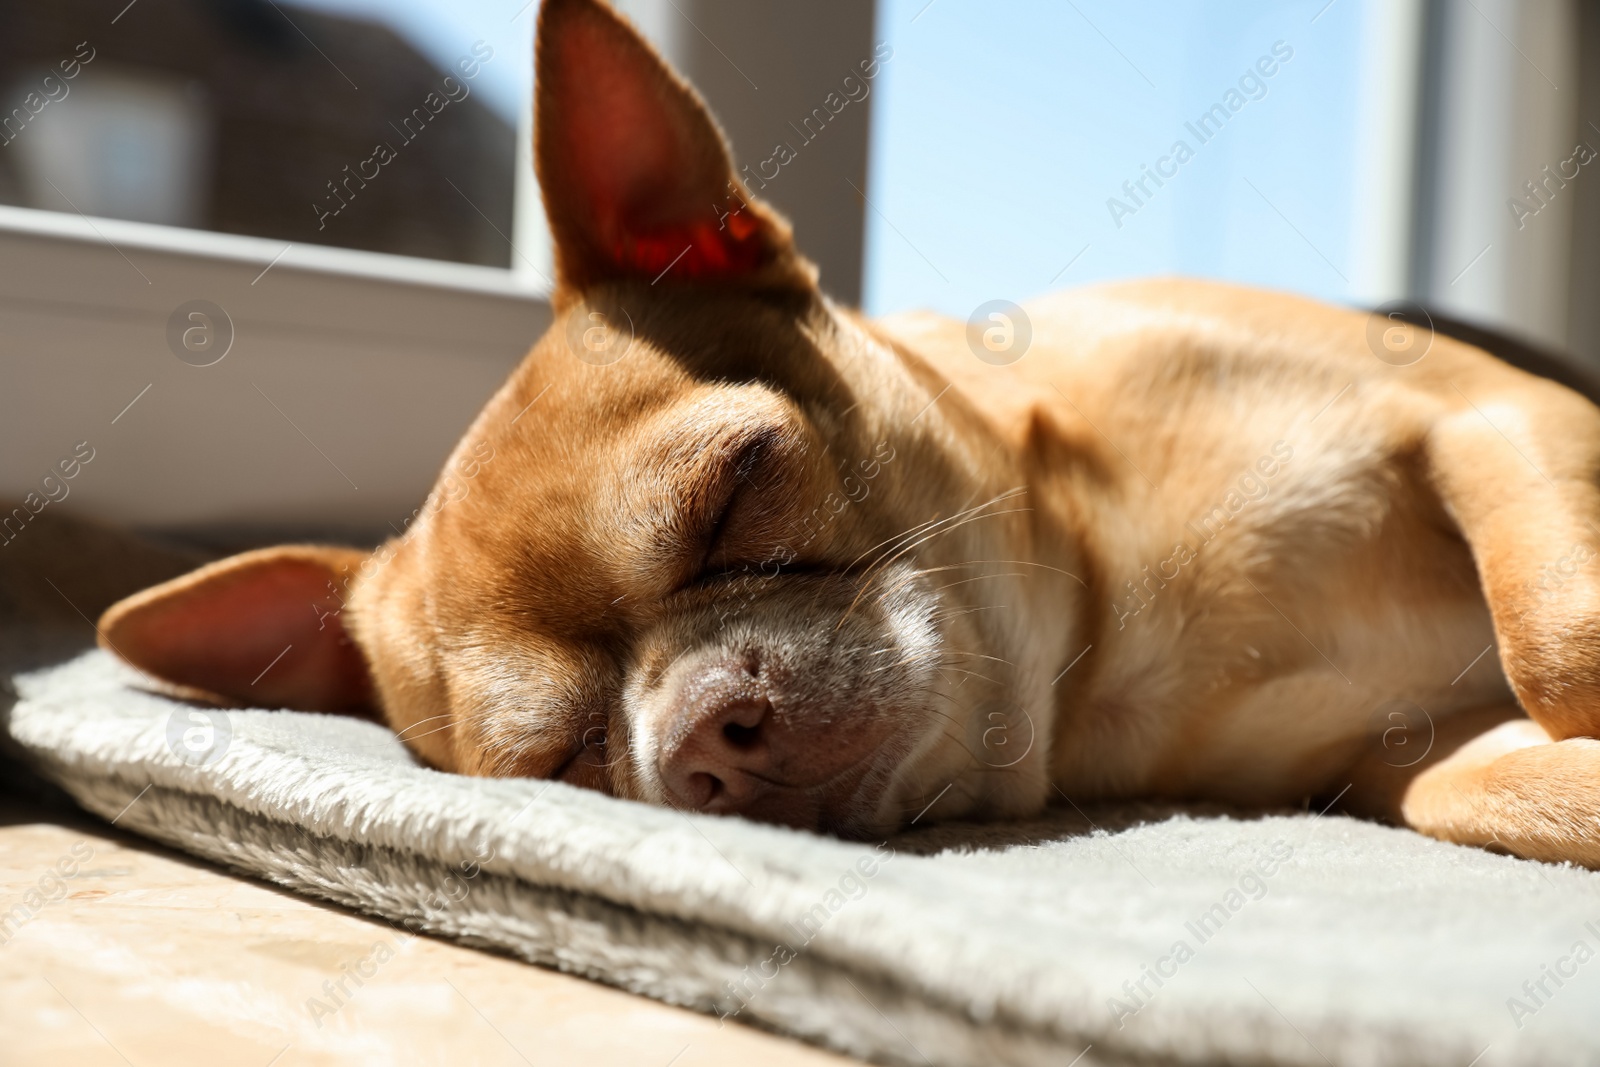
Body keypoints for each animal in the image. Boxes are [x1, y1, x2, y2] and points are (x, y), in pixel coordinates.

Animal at [103, 0, 1600, 870]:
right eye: (569, 759)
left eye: (737, 492)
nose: (702, 733)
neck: (1115, 626)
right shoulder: (1407, 751)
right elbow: (1510, 780)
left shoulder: (1488, 409)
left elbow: (1556, 639)